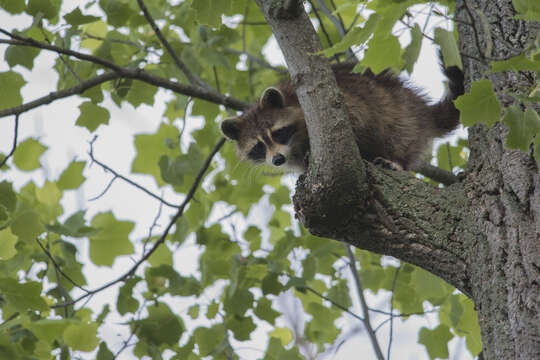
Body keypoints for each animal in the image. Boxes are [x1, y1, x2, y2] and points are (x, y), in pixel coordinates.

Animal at [219, 62, 464, 173]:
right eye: (258, 146)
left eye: (278, 133)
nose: (277, 159)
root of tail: (422, 109)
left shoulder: (339, 101)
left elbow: (357, 117)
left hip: (401, 112)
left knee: (399, 134)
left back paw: (397, 160)